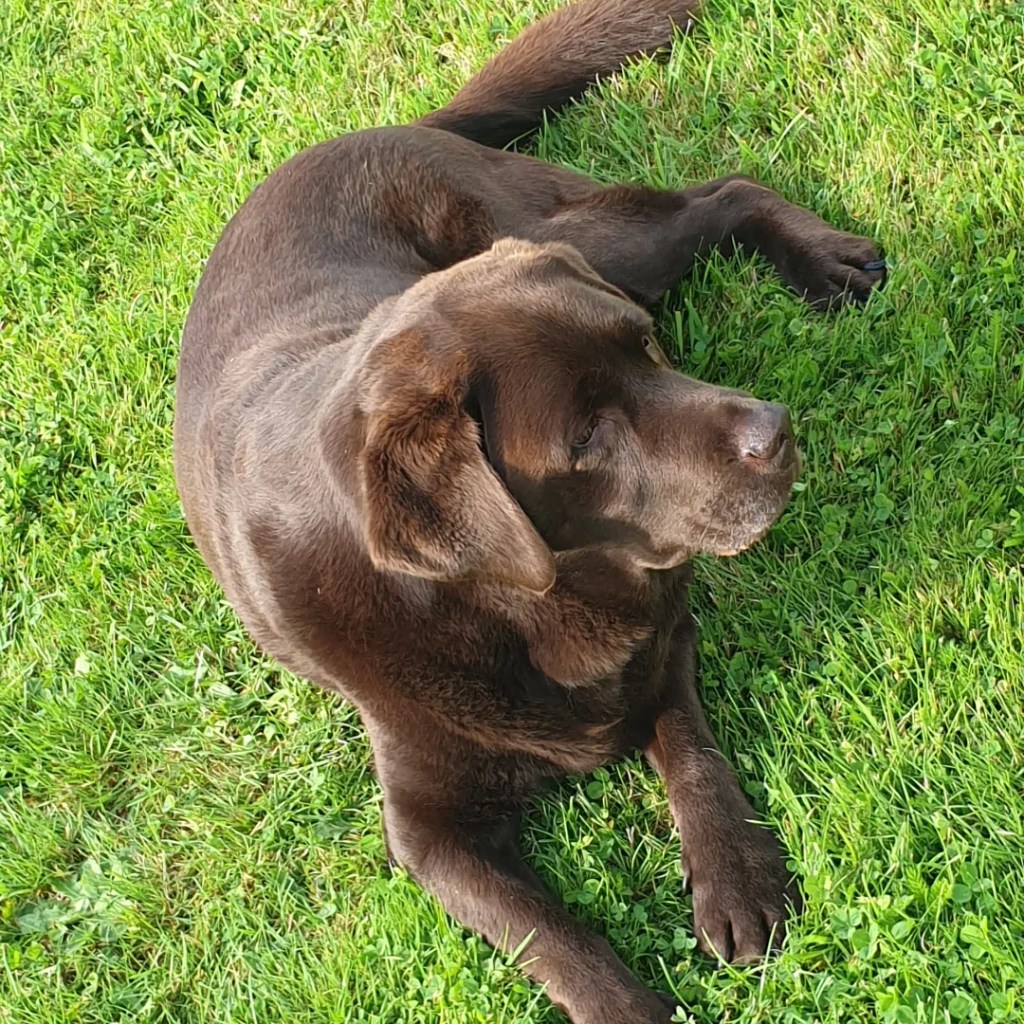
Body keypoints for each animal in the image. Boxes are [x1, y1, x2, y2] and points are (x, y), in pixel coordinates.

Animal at [173, 2, 886, 1021]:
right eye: (586, 436)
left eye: (647, 346)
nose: (775, 432)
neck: (521, 602)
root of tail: (393, 126)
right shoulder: (430, 833)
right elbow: (555, 938)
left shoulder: (658, 641)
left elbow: (692, 751)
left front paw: (734, 872)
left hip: (586, 237)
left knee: (720, 191)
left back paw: (823, 258)